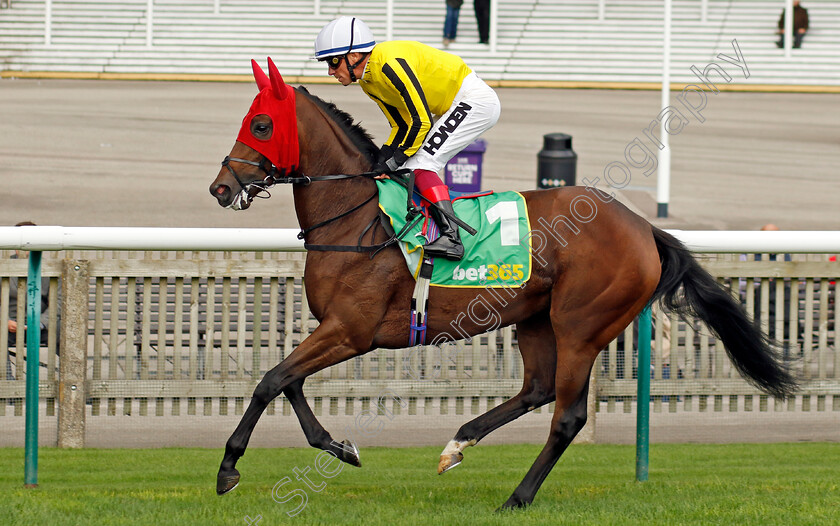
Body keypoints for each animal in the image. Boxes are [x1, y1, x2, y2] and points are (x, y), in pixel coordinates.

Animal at [207, 57, 796, 512]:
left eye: (261, 125)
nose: (221, 188)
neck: (358, 219)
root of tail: (642, 227)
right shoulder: (333, 328)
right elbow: (288, 382)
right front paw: (338, 446)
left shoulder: (351, 331)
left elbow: (270, 381)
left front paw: (228, 467)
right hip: (534, 318)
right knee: (535, 389)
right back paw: (457, 444)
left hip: (581, 326)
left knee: (568, 414)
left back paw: (518, 495)